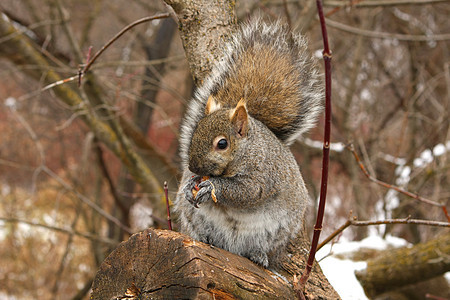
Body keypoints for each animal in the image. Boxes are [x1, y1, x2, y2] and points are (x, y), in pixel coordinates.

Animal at [174, 19, 322, 268]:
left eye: (222, 144)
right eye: (195, 131)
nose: (193, 167)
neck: (244, 152)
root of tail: (232, 246)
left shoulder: (263, 176)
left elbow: (247, 191)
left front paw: (211, 187)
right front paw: (189, 186)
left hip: (277, 232)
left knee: (264, 247)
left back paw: (258, 254)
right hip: (192, 218)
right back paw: (205, 237)